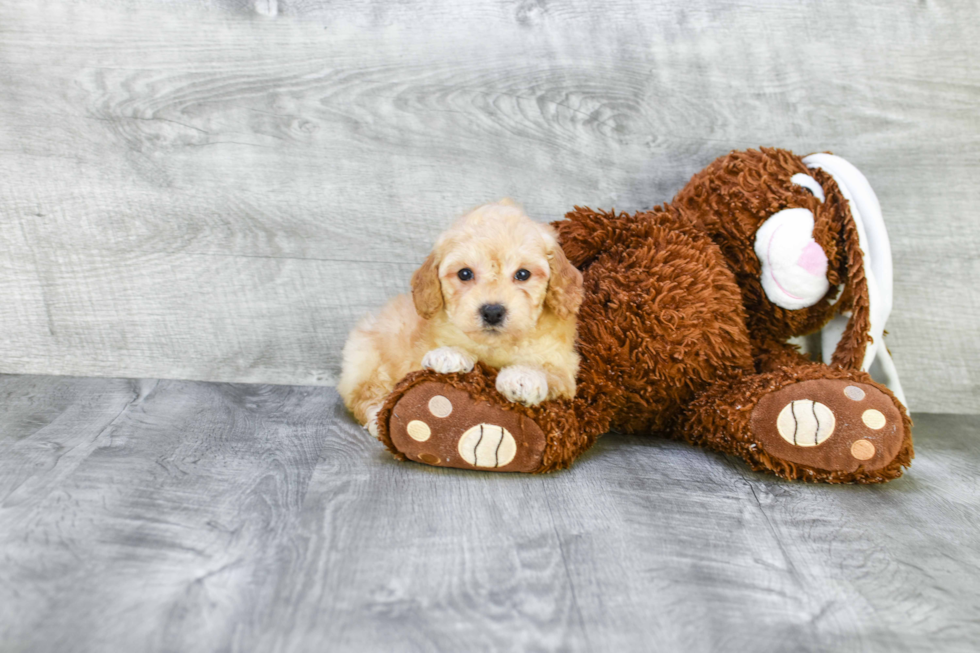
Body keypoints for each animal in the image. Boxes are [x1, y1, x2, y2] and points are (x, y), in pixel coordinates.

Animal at [338, 199, 580, 438]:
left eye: (523, 274)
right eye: (465, 273)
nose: (492, 312)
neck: (495, 346)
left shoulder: (565, 368)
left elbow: (550, 371)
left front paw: (523, 377)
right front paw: (449, 354)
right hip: (369, 360)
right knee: (365, 394)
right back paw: (377, 416)